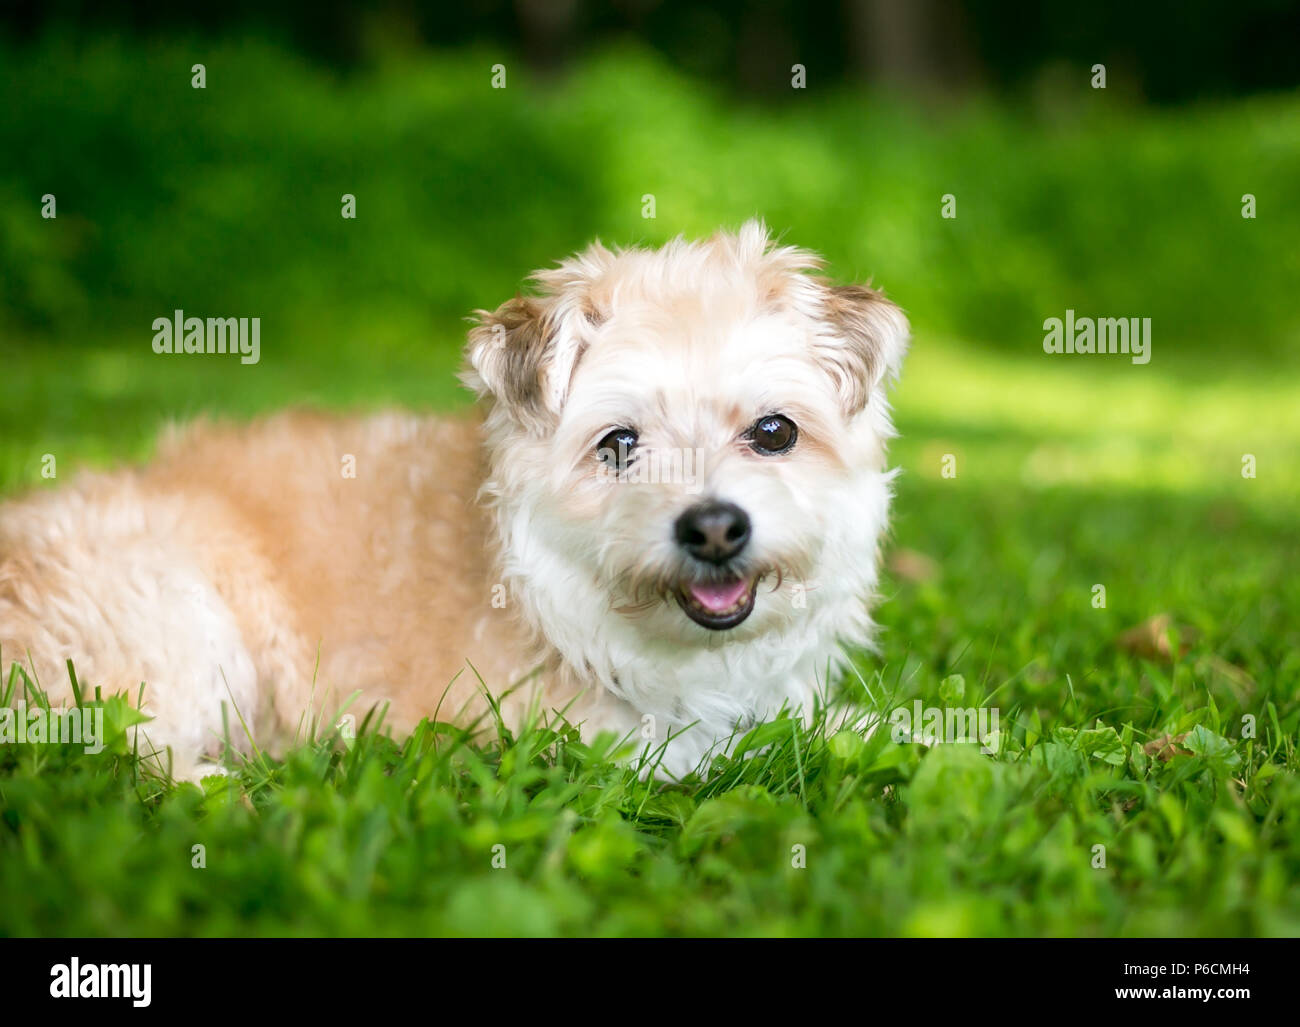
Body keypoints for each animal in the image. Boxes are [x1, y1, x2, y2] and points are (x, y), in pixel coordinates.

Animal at [0, 223, 909, 780]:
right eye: (619, 443)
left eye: (774, 431)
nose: (715, 527)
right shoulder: (557, 738)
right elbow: (721, 753)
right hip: (176, 619)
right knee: (129, 754)